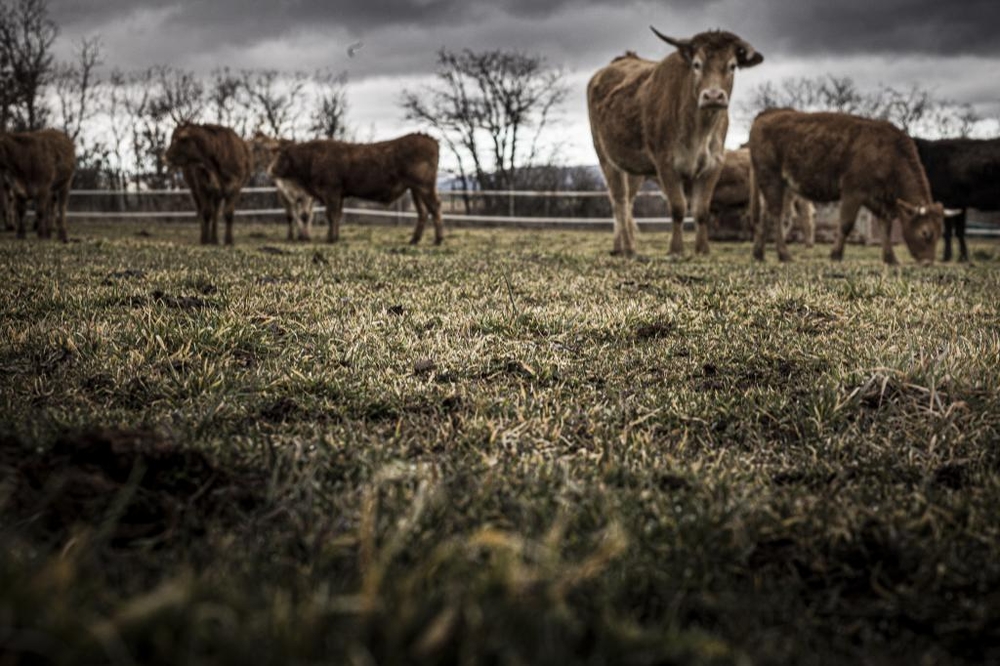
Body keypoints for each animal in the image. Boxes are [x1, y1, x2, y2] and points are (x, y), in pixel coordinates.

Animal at [266, 132, 442, 244]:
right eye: (274, 154)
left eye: (282, 155)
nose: (270, 170)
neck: (312, 158)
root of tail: (429, 139)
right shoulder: (339, 195)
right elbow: (337, 215)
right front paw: (334, 236)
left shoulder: (331, 192)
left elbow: (331, 215)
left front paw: (331, 239)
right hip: (415, 190)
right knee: (423, 212)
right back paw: (414, 240)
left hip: (424, 187)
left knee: (434, 207)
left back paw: (438, 240)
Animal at [584, 27, 764, 254]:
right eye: (697, 64)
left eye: (732, 66)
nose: (713, 96)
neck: (699, 130)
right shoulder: (666, 164)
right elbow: (678, 207)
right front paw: (676, 249)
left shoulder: (714, 164)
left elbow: (701, 210)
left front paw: (703, 249)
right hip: (606, 157)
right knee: (619, 201)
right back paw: (628, 248)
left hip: (633, 167)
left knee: (628, 202)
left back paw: (621, 246)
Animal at [752, 107, 944, 264]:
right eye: (925, 233)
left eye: (938, 232)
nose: (928, 262)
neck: (888, 154)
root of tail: (766, 114)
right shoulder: (853, 191)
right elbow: (846, 223)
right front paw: (836, 254)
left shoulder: (876, 199)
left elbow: (886, 225)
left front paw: (891, 258)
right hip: (773, 179)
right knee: (777, 215)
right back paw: (783, 254)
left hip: (771, 185)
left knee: (765, 215)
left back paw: (759, 254)